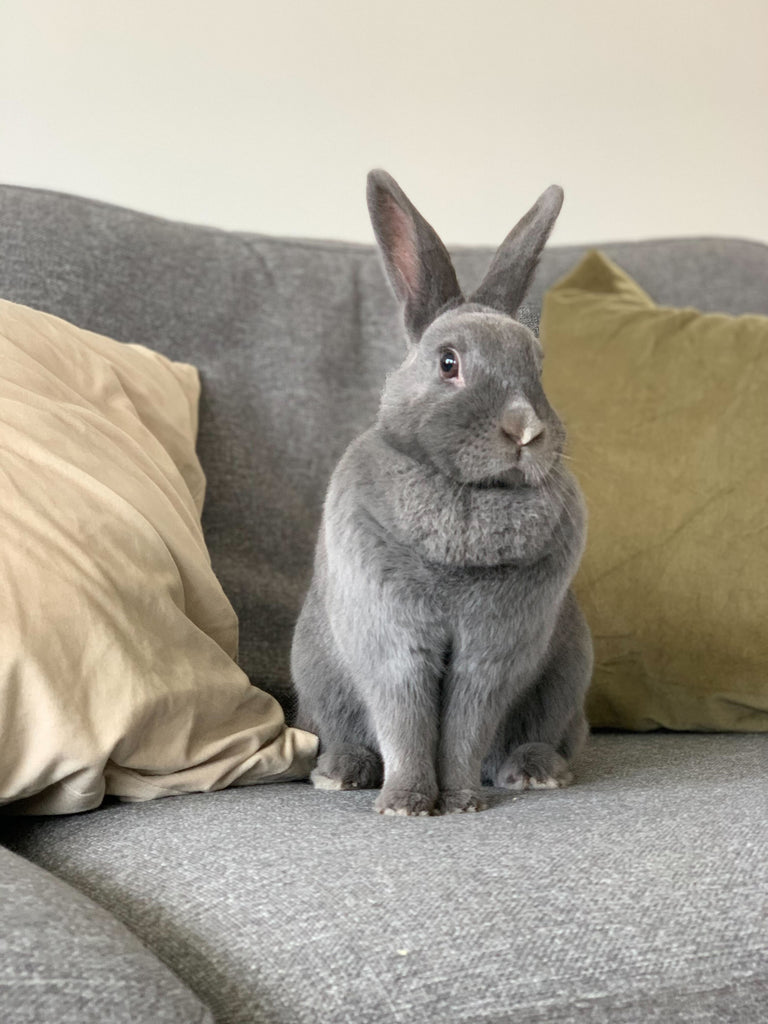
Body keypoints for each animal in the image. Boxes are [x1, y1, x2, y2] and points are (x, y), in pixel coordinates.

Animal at [290, 169, 593, 815]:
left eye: (537, 366)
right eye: (448, 362)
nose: (524, 430)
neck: (469, 493)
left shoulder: (492, 653)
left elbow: (464, 727)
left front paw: (458, 801)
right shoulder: (393, 642)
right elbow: (405, 720)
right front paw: (405, 804)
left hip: (567, 675)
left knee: (540, 736)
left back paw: (535, 771)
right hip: (317, 674)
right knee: (346, 731)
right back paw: (342, 772)